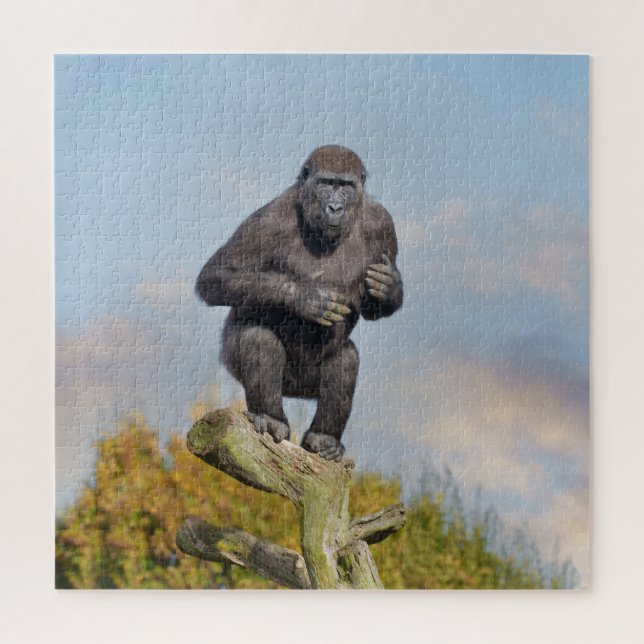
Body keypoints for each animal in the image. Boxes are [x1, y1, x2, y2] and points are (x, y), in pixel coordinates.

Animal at [196, 145, 403, 460]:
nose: (335, 208)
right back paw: (271, 418)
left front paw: (389, 287)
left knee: (345, 358)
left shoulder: (383, 224)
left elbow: (374, 306)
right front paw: (306, 298)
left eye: (345, 187)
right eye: (326, 184)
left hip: (306, 386)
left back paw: (324, 437)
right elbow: (215, 276)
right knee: (258, 339)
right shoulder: (268, 220)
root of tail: (293, 392)